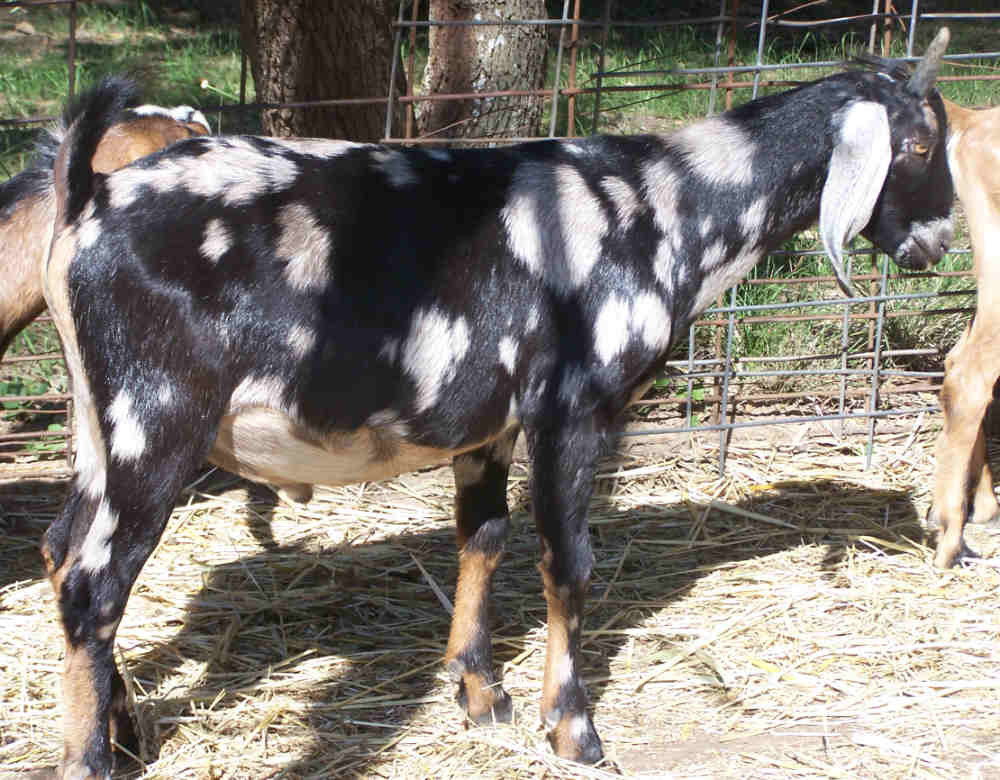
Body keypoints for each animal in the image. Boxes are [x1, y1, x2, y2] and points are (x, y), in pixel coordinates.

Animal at [39, 33, 952, 780]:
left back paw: (125, 731)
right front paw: (574, 730)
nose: (940, 243)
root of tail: (87, 199)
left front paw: (480, 694)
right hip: (155, 419)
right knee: (94, 584)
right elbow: (567, 564)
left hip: (100, 427)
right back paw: (91, 760)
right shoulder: (573, 411)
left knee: (60, 550)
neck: (669, 208)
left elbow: (482, 539)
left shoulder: (488, 424)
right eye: (917, 145)